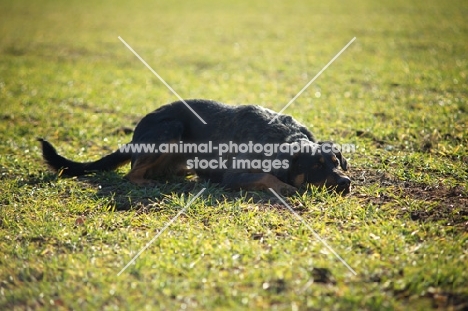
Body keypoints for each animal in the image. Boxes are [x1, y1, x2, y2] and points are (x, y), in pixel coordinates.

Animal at [38, 100, 352, 196]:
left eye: (336, 162)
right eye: (315, 166)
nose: (346, 182)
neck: (286, 140)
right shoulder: (235, 176)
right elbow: (267, 176)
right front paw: (285, 187)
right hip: (170, 129)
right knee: (132, 173)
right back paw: (150, 182)